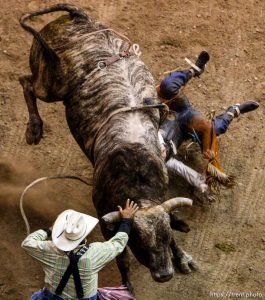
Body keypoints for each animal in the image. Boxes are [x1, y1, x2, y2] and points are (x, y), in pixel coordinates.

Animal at [19, 2, 196, 292]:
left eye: (165, 238)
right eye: (141, 245)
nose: (164, 275)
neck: (137, 178)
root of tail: (79, 16)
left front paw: (183, 257)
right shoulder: (105, 221)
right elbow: (121, 257)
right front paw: (127, 287)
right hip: (51, 84)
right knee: (27, 83)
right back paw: (34, 128)